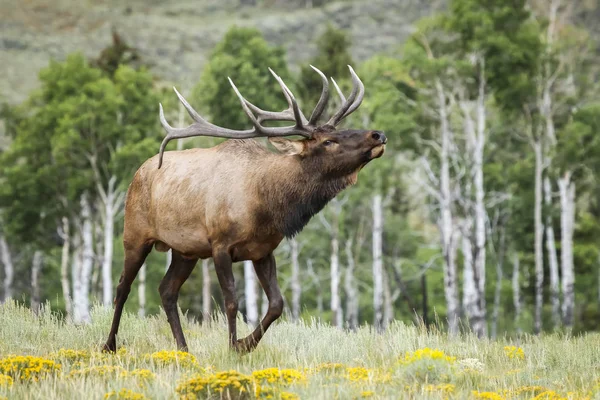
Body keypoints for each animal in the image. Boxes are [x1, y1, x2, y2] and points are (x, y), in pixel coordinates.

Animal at [101, 65, 386, 354]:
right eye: (328, 141)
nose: (377, 135)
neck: (266, 205)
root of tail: (138, 172)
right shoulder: (220, 245)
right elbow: (232, 303)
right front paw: (232, 347)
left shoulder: (263, 250)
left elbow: (277, 304)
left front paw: (244, 344)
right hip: (134, 235)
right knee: (122, 287)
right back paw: (109, 344)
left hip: (185, 251)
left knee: (166, 289)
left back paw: (183, 349)